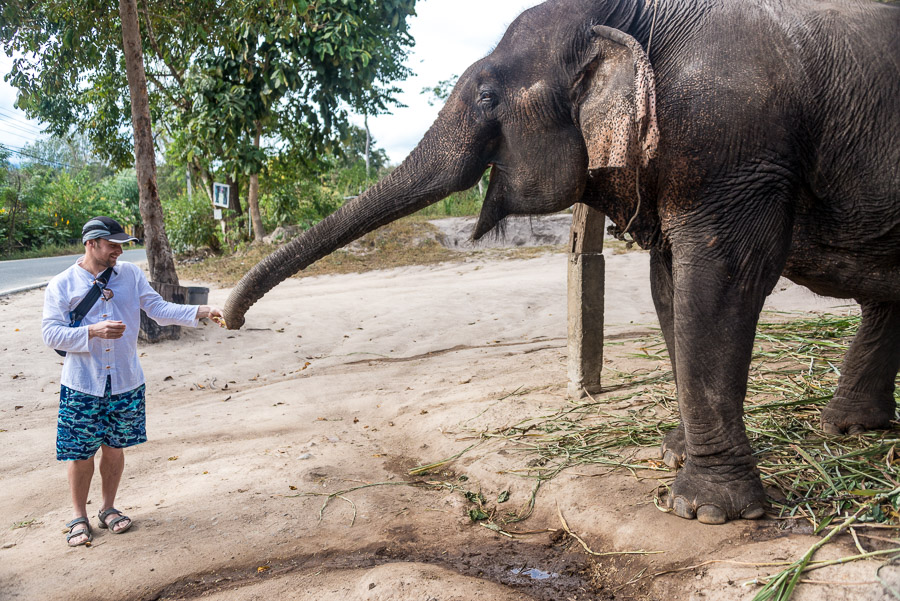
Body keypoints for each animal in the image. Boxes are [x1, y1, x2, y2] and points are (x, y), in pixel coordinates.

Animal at [223, 0, 900, 524]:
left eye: (488, 96)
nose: (226, 319)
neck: (632, 13)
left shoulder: (733, 146)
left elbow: (721, 278)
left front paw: (705, 512)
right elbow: (667, 285)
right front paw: (672, 454)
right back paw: (850, 432)